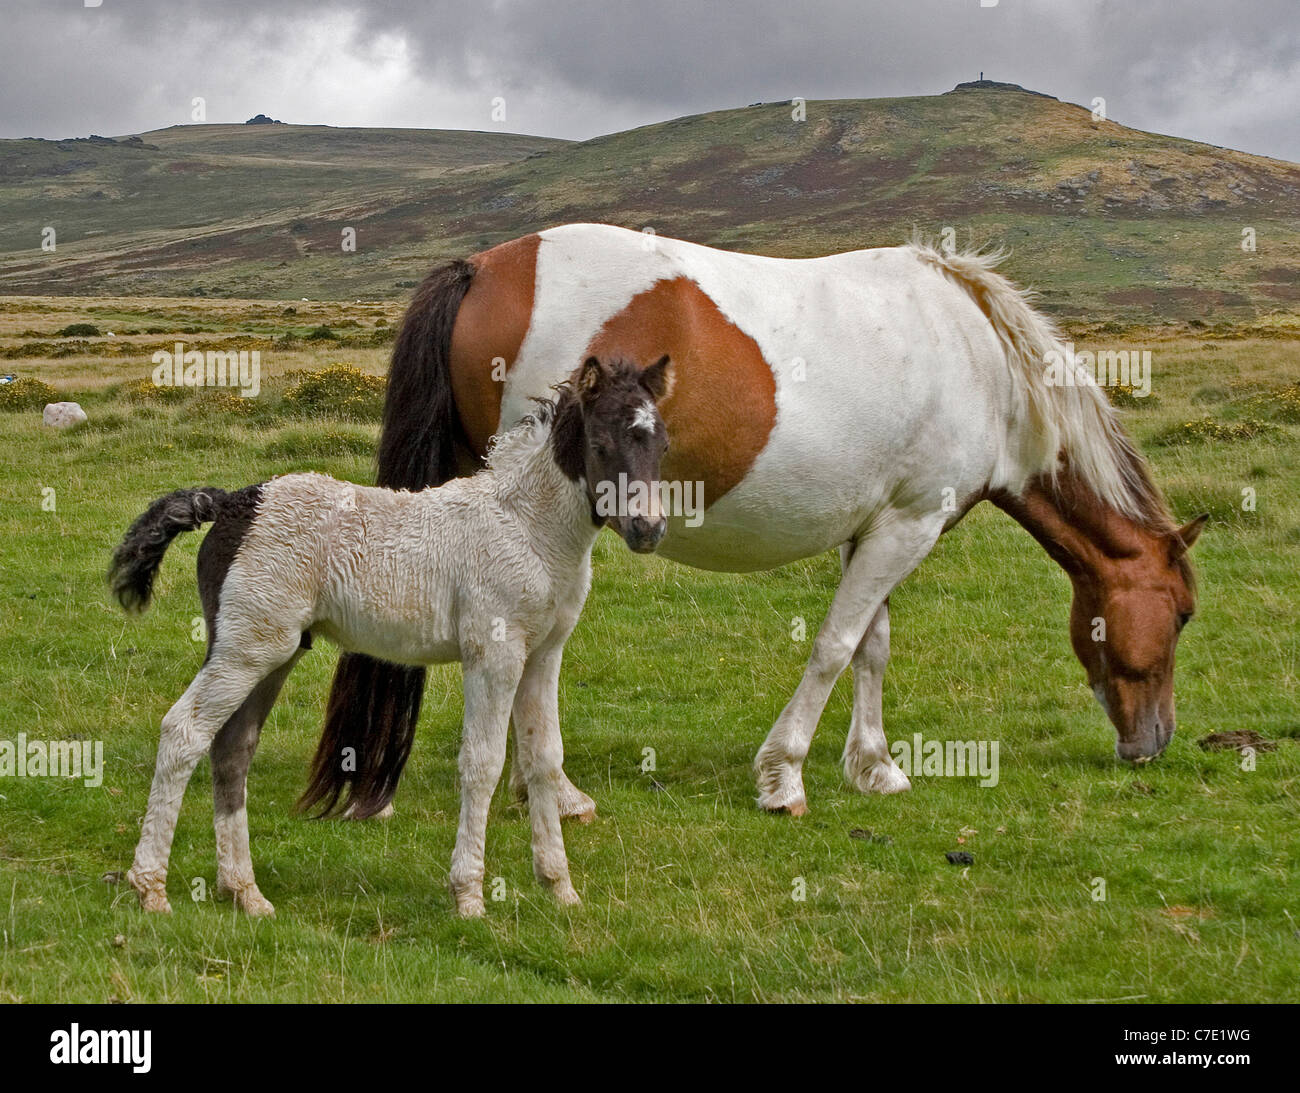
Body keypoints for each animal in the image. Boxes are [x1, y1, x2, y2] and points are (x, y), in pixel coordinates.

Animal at [109, 354, 674, 917]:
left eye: (663, 445)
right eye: (600, 444)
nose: (648, 530)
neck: (526, 528)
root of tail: (232, 504)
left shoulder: (542, 654)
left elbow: (543, 761)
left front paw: (560, 887)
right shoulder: (493, 654)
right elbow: (482, 763)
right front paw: (469, 896)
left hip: (272, 654)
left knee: (232, 748)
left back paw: (244, 892)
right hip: (245, 650)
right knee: (184, 732)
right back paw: (149, 888)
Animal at [309, 222, 1207, 822]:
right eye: (1184, 614)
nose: (1154, 741)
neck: (978, 354)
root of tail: (486, 265)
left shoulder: (882, 525)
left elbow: (872, 646)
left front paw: (874, 766)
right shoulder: (910, 525)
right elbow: (836, 646)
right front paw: (784, 774)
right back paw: (555, 791)